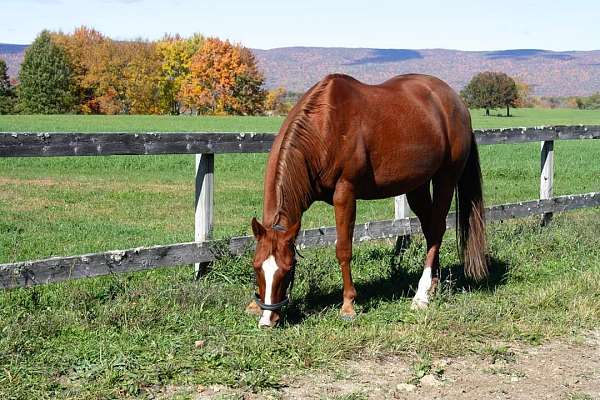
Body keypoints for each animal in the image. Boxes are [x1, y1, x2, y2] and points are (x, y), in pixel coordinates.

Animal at [248, 73, 488, 326]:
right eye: (256, 267)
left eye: (288, 269)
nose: (267, 320)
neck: (323, 128)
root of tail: (456, 101)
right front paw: (253, 306)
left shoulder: (345, 194)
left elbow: (343, 249)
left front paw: (348, 305)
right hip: (418, 185)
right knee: (430, 228)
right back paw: (433, 284)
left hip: (446, 178)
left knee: (437, 228)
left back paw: (421, 295)